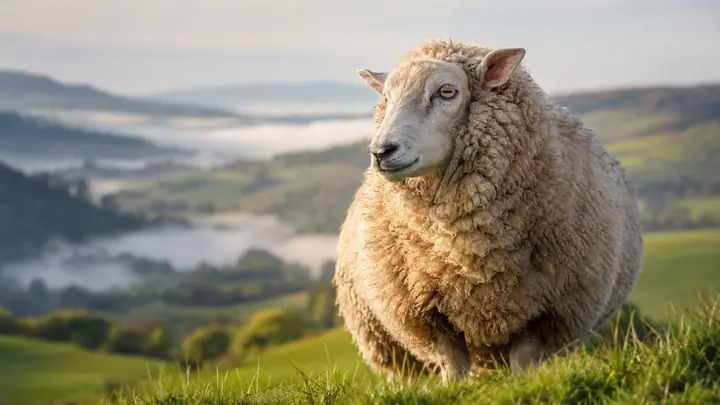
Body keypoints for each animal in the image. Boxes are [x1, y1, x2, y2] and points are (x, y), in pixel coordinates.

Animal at [332, 39, 644, 384]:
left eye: (447, 91)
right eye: (386, 98)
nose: (381, 151)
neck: (472, 255)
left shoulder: (547, 312)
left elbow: (524, 357)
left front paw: (524, 386)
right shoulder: (425, 312)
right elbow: (451, 360)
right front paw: (453, 389)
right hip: (384, 342)